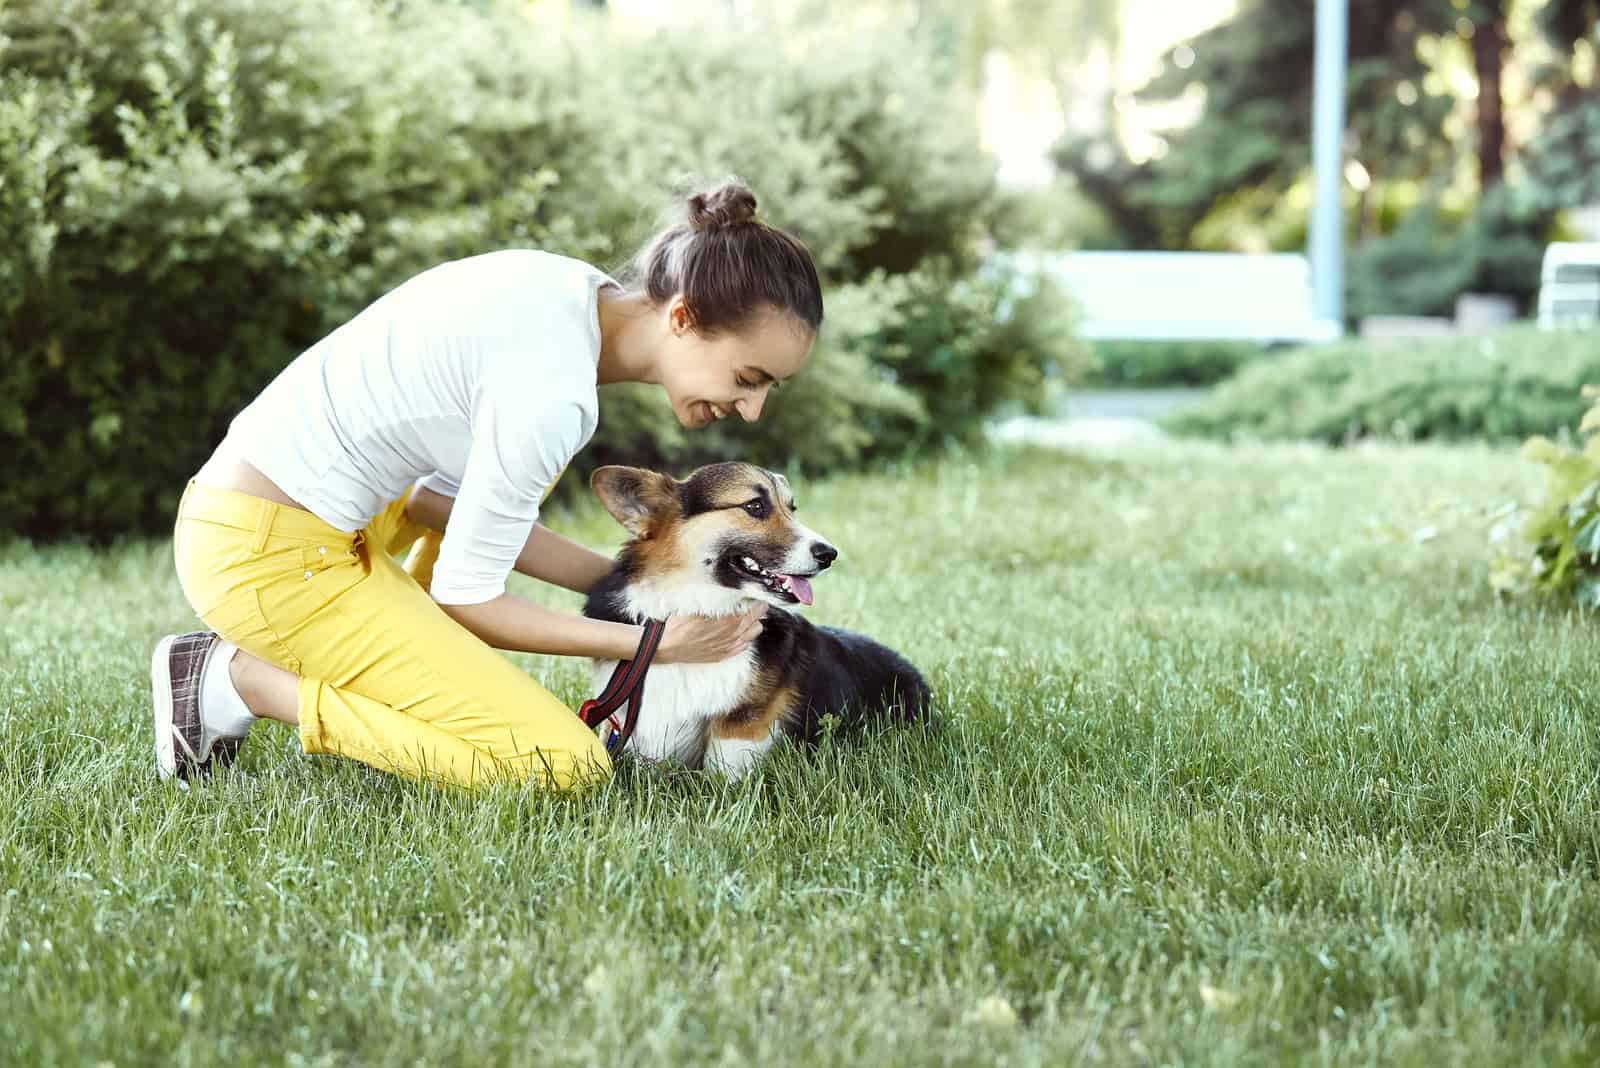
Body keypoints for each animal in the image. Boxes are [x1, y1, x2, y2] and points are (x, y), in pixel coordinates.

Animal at [585, 460, 934, 777]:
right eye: (755, 506)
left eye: (791, 508)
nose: (829, 554)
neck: (697, 605)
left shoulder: (739, 731)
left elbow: (722, 777)